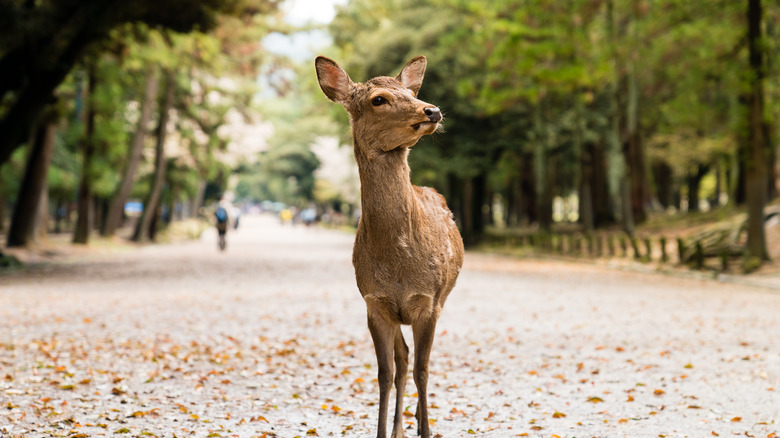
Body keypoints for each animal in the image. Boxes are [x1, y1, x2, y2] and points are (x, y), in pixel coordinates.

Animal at [316, 55, 464, 438]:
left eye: (410, 92)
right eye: (378, 99)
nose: (432, 110)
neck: (399, 264)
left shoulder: (429, 302)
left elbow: (424, 371)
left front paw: (426, 430)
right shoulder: (375, 303)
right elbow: (384, 373)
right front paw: (384, 431)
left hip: (439, 298)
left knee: (414, 362)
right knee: (402, 359)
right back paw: (399, 428)